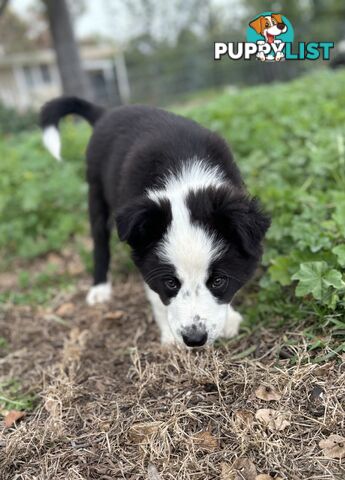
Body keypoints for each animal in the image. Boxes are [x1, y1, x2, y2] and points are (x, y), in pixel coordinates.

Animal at [40, 95, 270, 346]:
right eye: (171, 283)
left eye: (218, 281)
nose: (194, 339)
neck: (184, 179)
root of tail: (106, 113)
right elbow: (156, 295)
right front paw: (170, 336)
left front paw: (229, 320)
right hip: (95, 192)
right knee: (100, 242)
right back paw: (100, 288)